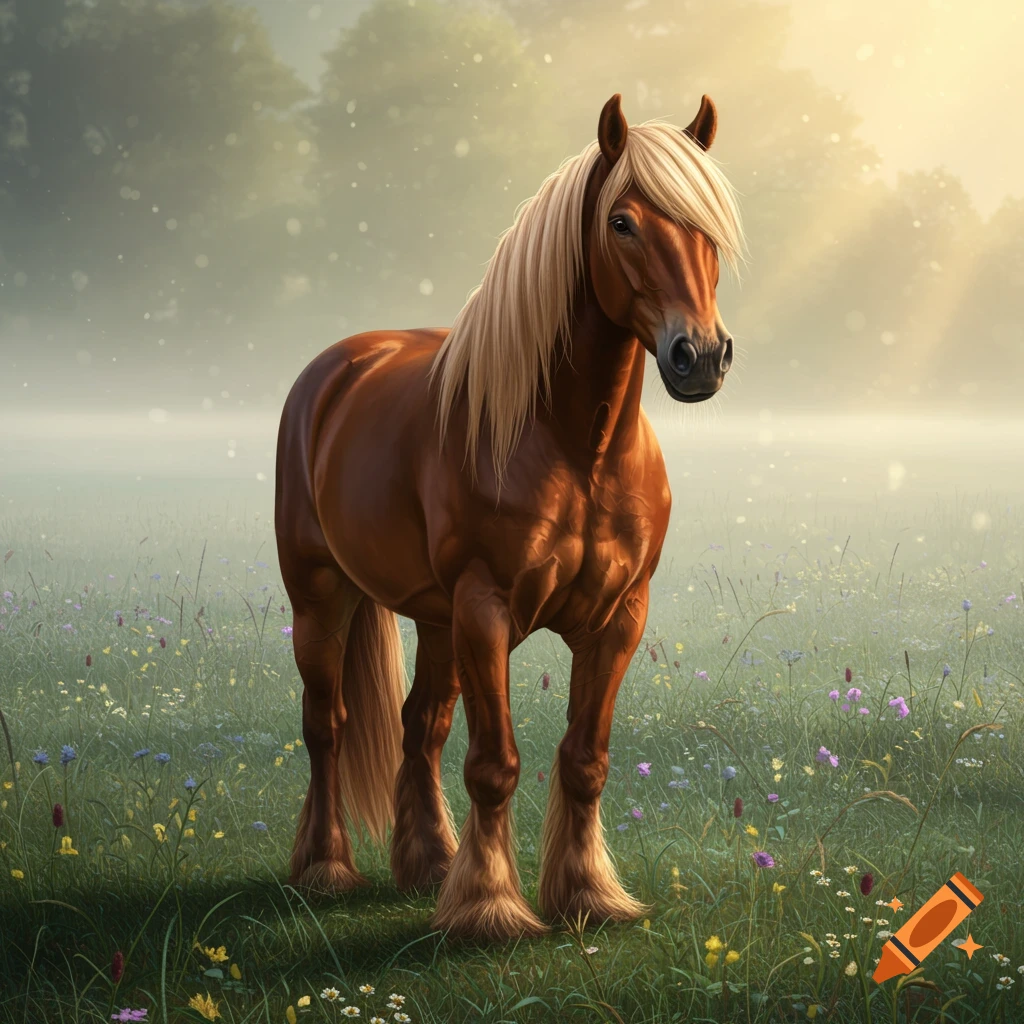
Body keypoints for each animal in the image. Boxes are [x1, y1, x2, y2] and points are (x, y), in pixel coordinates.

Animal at [275, 92, 744, 942]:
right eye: (622, 222)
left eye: (709, 225)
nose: (700, 356)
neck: (577, 446)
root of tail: (336, 367)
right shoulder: (486, 609)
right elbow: (495, 764)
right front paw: (491, 910)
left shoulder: (619, 618)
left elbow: (585, 759)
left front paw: (587, 896)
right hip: (322, 596)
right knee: (325, 723)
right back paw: (326, 869)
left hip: (434, 620)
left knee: (419, 723)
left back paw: (430, 864)